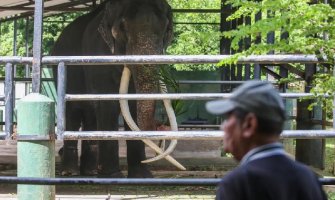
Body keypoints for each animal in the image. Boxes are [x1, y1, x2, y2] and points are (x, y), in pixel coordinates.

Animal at [50, 0, 181, 177]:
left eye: (166, 28)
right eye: (123, 27)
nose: (160, 126)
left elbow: (132, 104)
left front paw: (142, 176)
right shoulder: (97, 54)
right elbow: (109, 103)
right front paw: (112, 175)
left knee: (91, 115)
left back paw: (90, 172)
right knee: (73, 112)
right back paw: (70, 173)